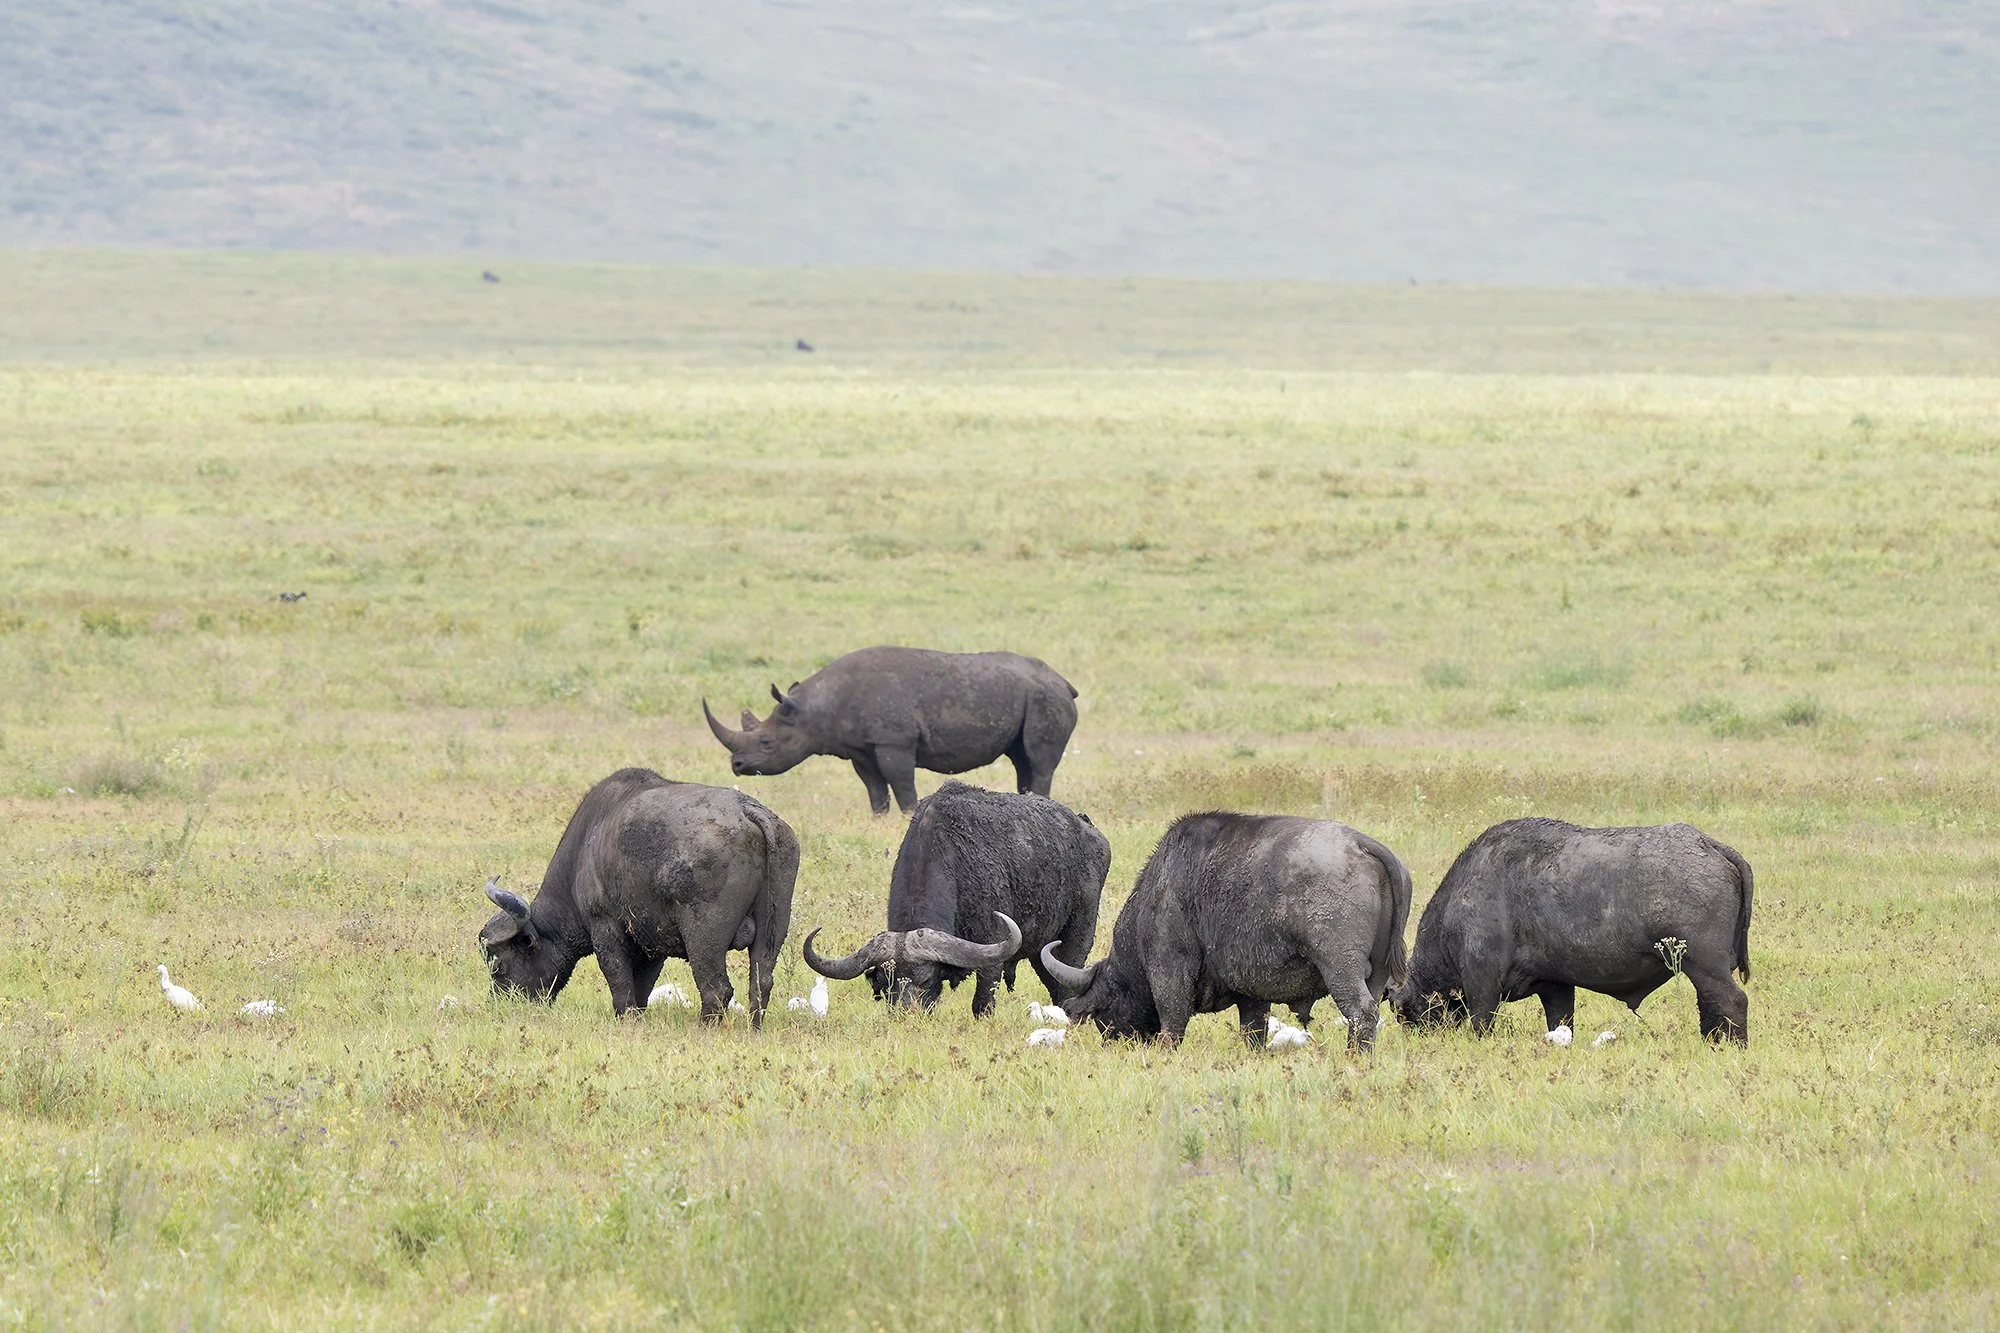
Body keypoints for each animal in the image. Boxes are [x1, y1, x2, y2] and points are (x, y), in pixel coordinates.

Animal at [477, 768, 799, 1024]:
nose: (501, 1002)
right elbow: (641, 988)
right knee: (761, 983)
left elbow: (620, 985)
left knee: (716, 989)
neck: (587, 846)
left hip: (704, 937)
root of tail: (747, 810)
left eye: (499, 965)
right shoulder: (651, 946)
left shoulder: (605, 930)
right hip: (773, 928)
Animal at [703, 646, 1078, 815]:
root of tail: (1064, 681)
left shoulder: (893, 741)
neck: (815, 710)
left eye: (766, 743)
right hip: (1034, 697)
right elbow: (875, 788)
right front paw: (879, 817)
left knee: (1038, 760)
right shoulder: (860, 748)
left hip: (1047, 698)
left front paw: (909, 815)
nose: (737, 766)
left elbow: (902, 784)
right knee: (1021, 759)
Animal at [801, 781, 1110, 1014]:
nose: (905, 1012)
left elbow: (982, 1003)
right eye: (886, 982)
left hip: (1077, 936)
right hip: (1040, 949)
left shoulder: (992, 953)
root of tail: (1090, 831)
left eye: (925, 979)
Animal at [1040, 813, 1412, 1050]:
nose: (1115, 1043)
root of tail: (1362, 844)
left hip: (1340, 966)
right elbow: (1253, 1031)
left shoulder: (1169, 971)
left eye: (1103, 1013)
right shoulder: (1253, 994)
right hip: (1376, 973)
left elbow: (1172, 1023)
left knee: (1361, 1013)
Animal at [1389, 818, 1753, 1045]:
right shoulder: (1556, 987)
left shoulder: (1482, 983)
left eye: (1401, 1012)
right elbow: (1562, 1024)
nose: (1418, 1039)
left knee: (1731, 1001)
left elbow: (1481, 1024)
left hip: (1704, 964)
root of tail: (1709, 844)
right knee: (1710, 1006)